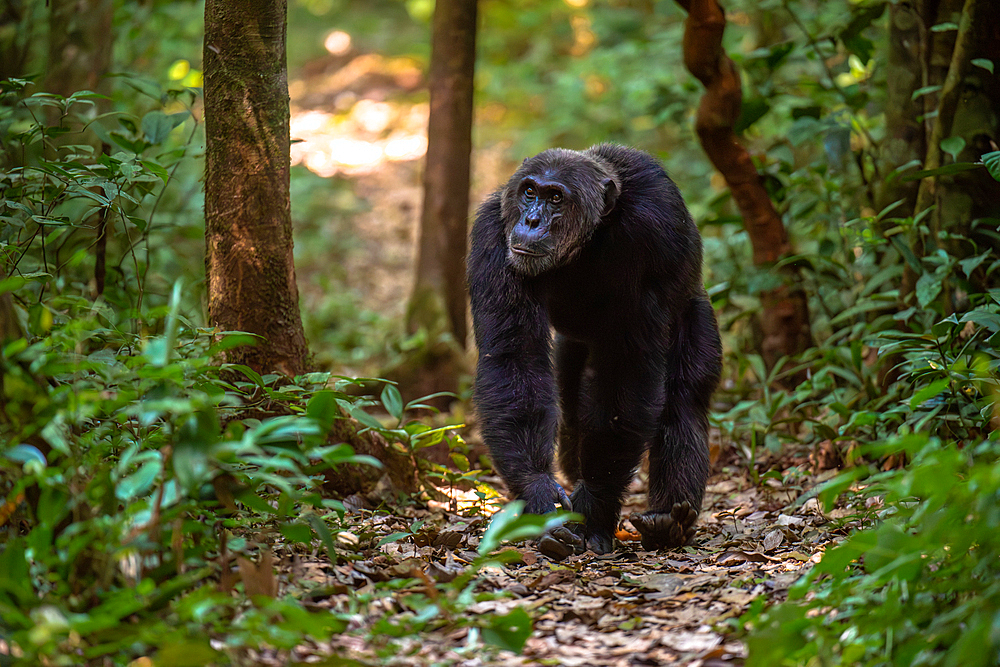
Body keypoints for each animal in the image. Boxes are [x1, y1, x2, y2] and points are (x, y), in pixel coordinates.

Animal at [468, 146, 720, 560]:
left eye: (556, 198)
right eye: (529, 191)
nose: (532, 219)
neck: (588, 241)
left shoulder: (652, 235)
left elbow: (628, 374)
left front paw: (593, 510)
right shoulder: (491, 234)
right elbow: (514, 358)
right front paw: (541, 495)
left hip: (695, 309)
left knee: (684, 399)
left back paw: (670, 522)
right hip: (573, 346)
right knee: (572, 407)